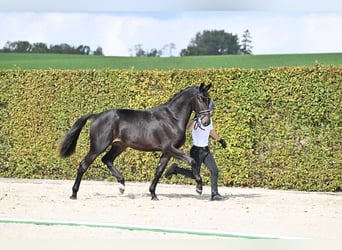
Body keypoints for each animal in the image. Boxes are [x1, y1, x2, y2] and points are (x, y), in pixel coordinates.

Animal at [60, 83, 212, 200]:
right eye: (201, 98)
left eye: (208, 99)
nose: (206, 122)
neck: (172, 118)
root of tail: (96, 116)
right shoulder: (170, 148)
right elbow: (192, 161)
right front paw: (199, 188)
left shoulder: (167, 151)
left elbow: (159, 171)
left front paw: (153, 195)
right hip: (98, 146)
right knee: (84, 165)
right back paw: (74, 194)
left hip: (119, 145)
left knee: (107, 159)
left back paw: (122, 186)